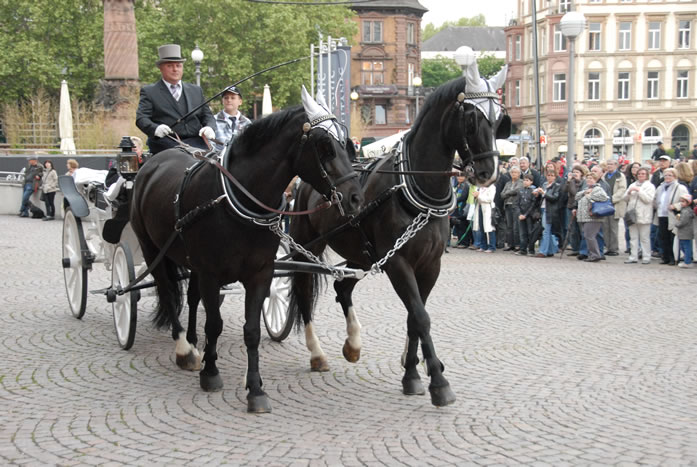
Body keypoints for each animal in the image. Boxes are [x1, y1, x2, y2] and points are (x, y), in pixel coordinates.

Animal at [130, 87, 364, 413]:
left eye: (347, 144)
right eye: (324, 145)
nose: (356, 198)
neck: (235, 201)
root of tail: (152, 163)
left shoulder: (259, 273)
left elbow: (251, 330)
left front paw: (255, 389)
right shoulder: (211, 273)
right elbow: (215, 323)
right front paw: (211, 373)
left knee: (191, 298)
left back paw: (193, 342)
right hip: (152, 249)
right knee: (167, 291)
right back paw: (184, 349)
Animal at [286, 62, 511, 407]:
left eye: (499, 120)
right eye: (472, 120)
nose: (488, 173)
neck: (414, 191)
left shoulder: (429, 265)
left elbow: (414, 316)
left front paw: (412, 370)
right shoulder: (398, 263)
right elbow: (420, 316)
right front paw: (438, 384)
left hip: (362, 255)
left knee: (342, 286)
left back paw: (353, 344)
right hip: (305, 247)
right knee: (303, 291)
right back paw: (317, 353)